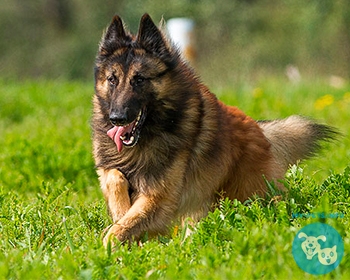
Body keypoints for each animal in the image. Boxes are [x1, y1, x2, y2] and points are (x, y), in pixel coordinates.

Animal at [91, 13, 338, 245]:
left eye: (139, 79)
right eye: (112, 80)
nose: (117, 118)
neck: (144, 139)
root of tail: (259, 130)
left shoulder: (159, 197)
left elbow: (120, 229)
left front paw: (107, 247)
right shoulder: (111, 169)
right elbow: (114, 178)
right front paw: (120, 211)